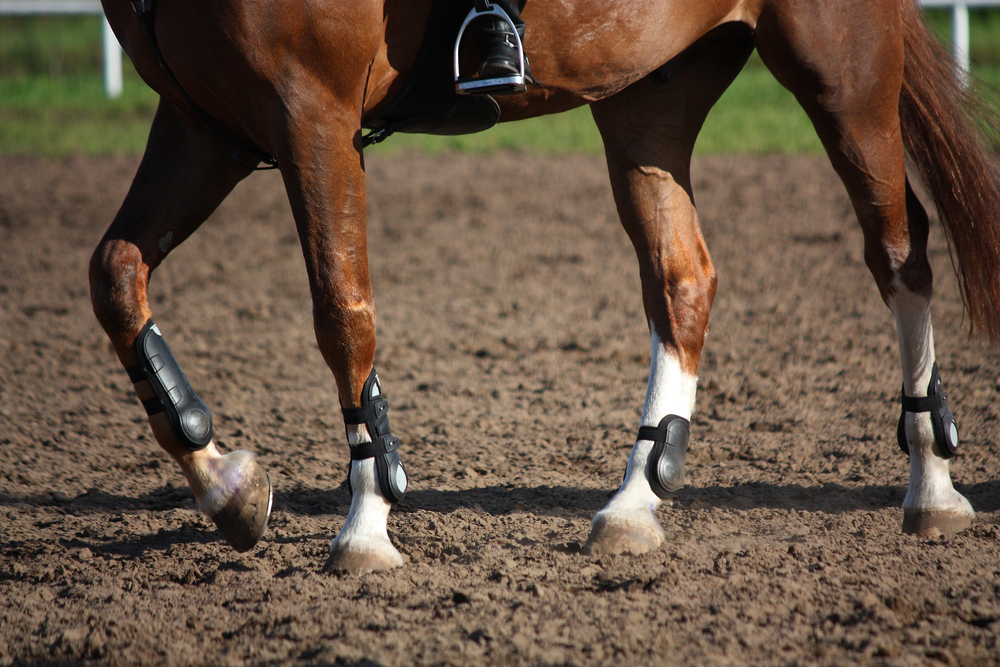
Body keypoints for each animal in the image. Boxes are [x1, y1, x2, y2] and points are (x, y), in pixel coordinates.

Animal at [91, 0, 1000, 572]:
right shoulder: (205, 123)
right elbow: (114, 277)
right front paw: (227, 486)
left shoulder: (308, 109)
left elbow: (341, 311)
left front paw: (366, 521)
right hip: (649, 94)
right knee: (682, 277)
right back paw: (635, 499)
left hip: (843, 78)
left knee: (900, 252)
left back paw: (933, 483)